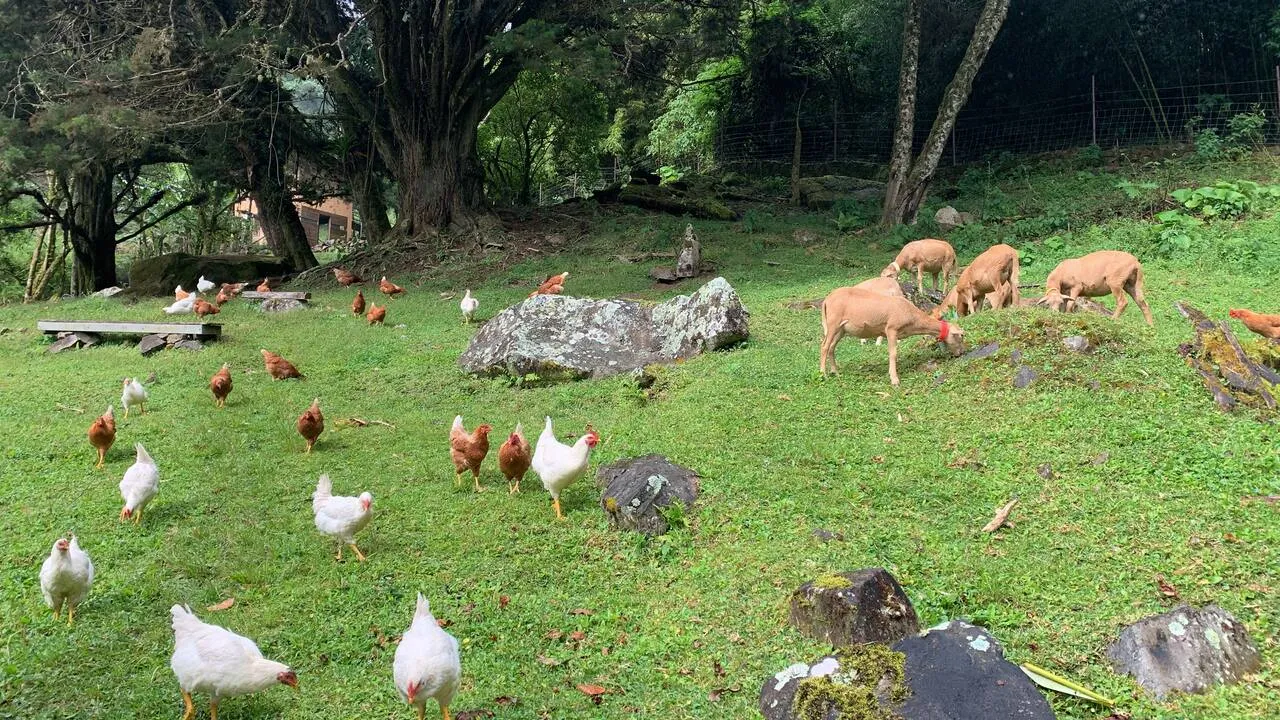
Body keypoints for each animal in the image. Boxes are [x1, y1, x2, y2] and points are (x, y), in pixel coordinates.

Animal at [820, 287, 967, 386]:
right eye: (960, 336)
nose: (961, 353)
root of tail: (826, 300)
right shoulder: (891, 329)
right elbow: (893, 353)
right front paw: (894, 379)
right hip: (833, 323)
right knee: (824, 346)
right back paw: (823, 374)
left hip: (841, 329)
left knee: (831, 348)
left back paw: (835, 372)